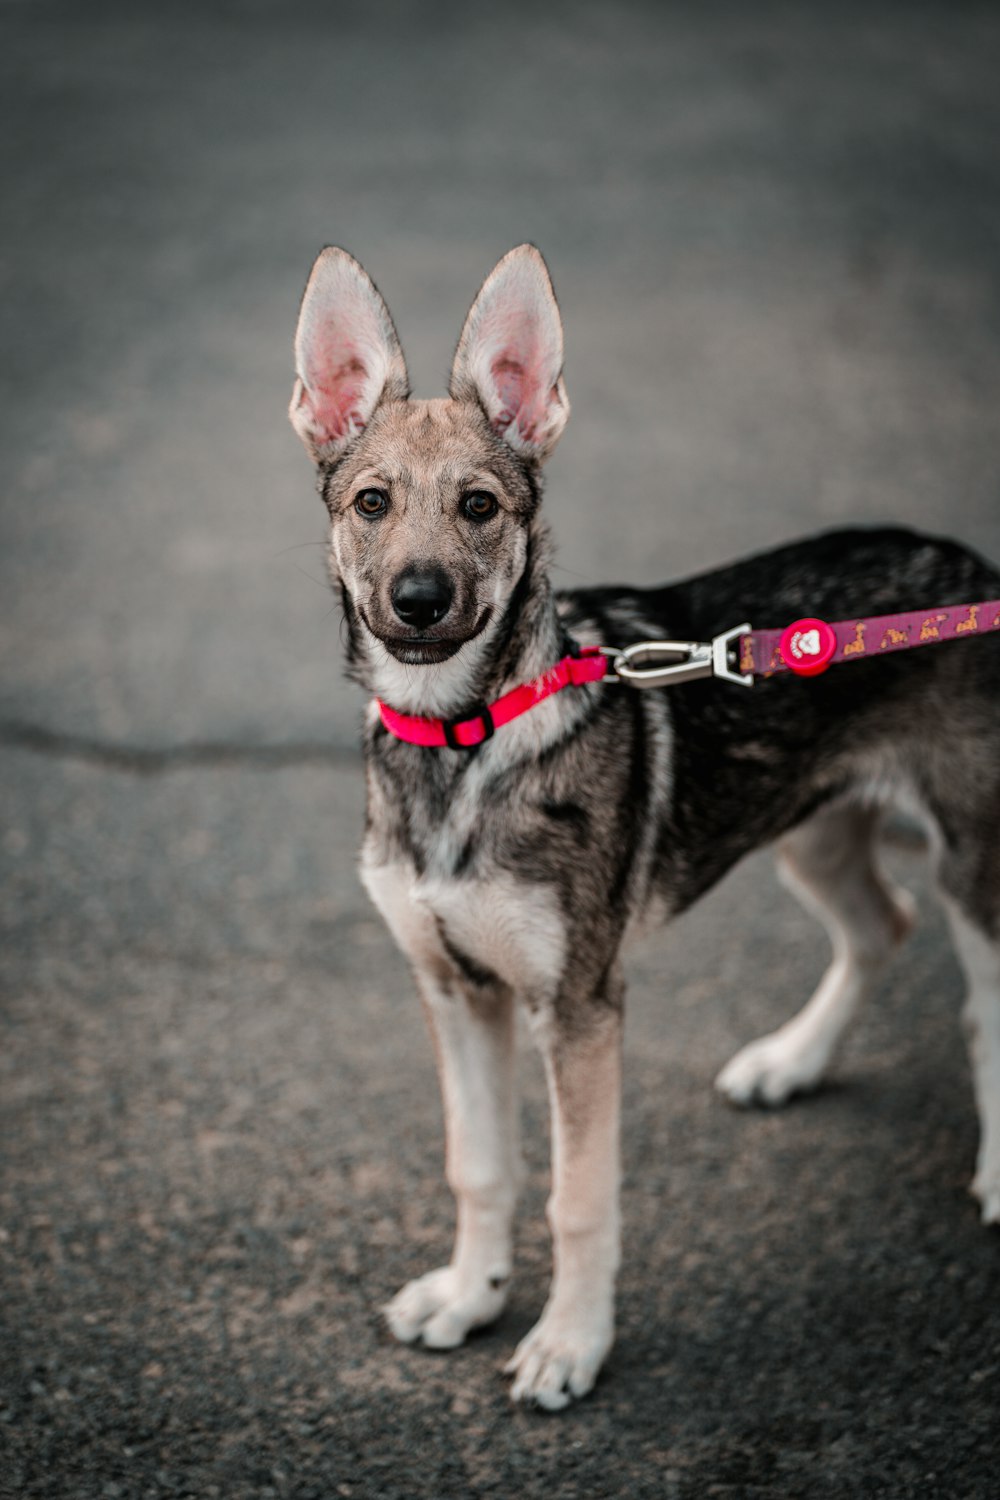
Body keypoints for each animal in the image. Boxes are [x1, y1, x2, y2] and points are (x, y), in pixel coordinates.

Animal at [289, 243, 1000, 1404]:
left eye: (480, 505)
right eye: (371, 502)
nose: (419, 599)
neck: (462, 743)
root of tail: (974, 568)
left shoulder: (579, 1005)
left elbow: (577, 1198)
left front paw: (570, 1345)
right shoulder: (452, 985)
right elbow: (478, 1166)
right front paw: (469, 1296)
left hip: (974, 858)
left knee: (980, 1001)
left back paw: (993, 1169)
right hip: (807, 824)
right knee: (878, 926)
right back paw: (790, 1061)